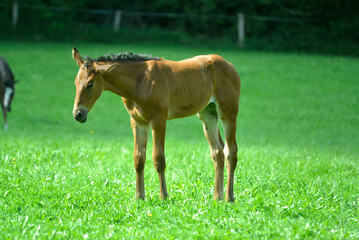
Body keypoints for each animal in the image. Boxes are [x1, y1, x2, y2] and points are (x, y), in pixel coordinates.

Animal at [72, 47, 242, 202]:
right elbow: (138, 158)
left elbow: (158, 159)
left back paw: (229, 197)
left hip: (228, 113)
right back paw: (217, 197)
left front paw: (163, 197)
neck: (140, 82)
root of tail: (230, 65)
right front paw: (139, 197)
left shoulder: (158, 120)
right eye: (75, 83)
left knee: (231, 151)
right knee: (217, 151)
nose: (78, 114)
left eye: (90, 84)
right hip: (208, 114)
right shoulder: (138, 122)